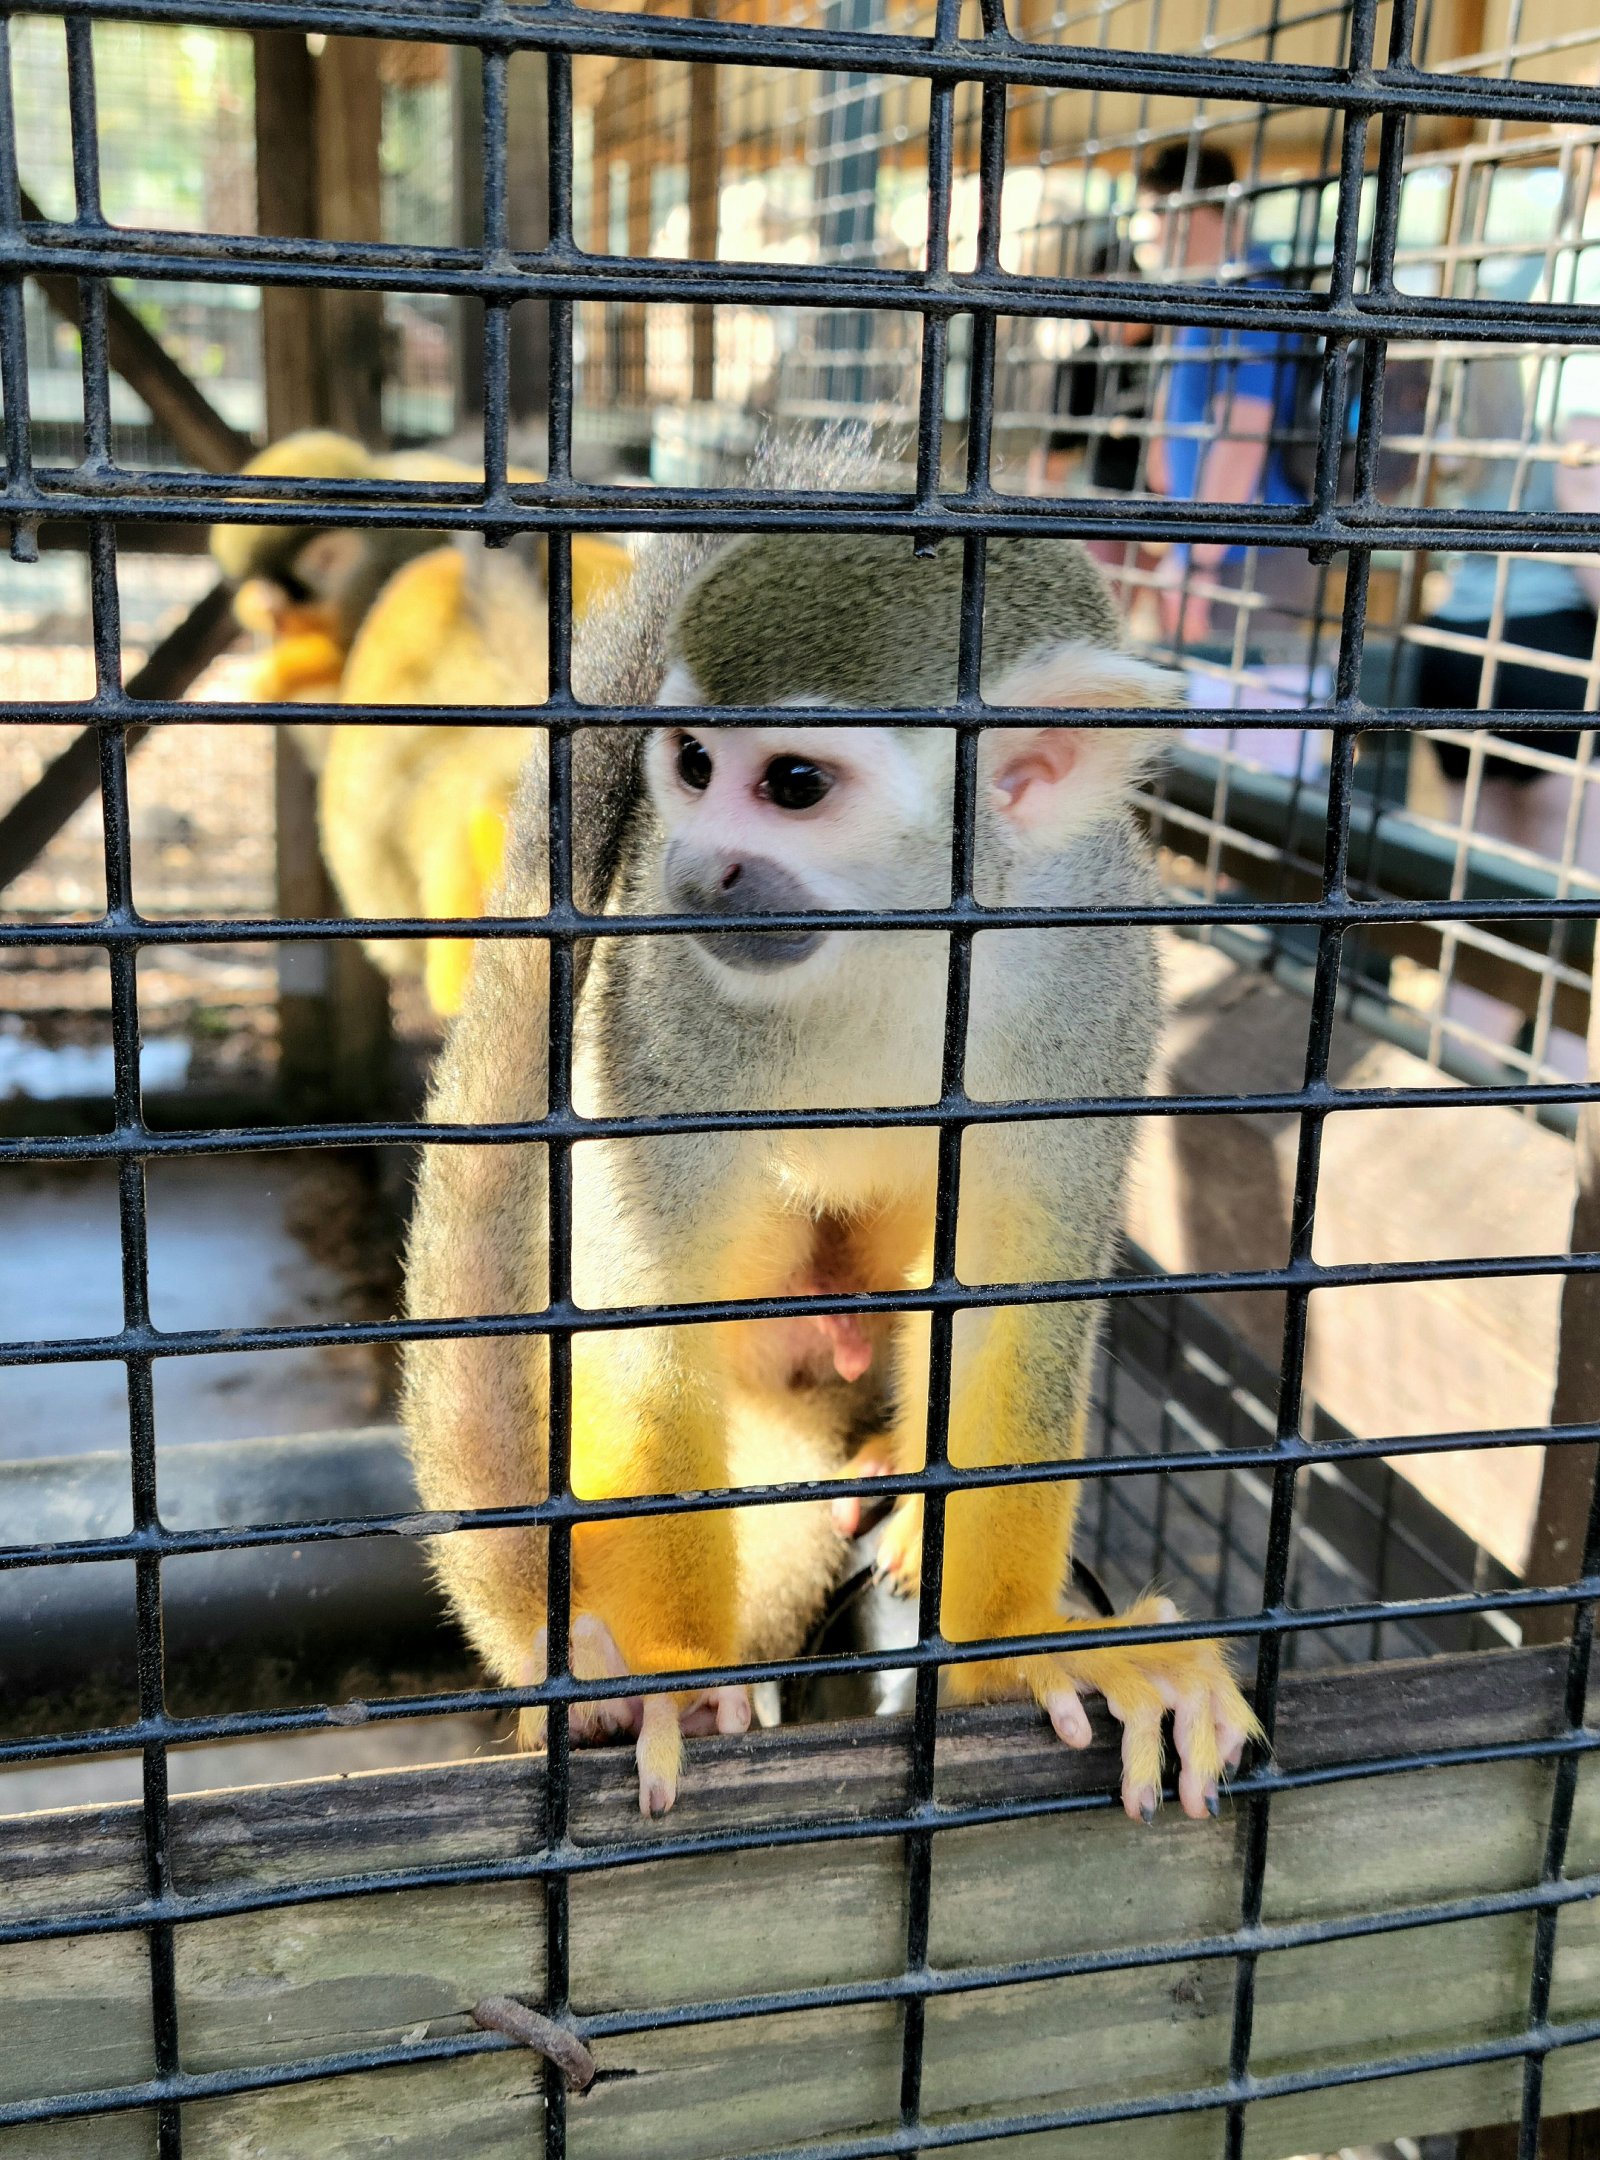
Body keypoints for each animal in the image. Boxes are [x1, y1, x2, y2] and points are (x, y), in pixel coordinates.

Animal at [401, 435, 1261, 1821]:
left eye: (792, 785)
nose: (698, 870)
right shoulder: (665, 999)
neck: (900, 950)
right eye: (693, 765)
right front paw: (678, 1675)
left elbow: (1016, 1307)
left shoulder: (1094, 977)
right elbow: (652, 1315)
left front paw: (1023, 1654)